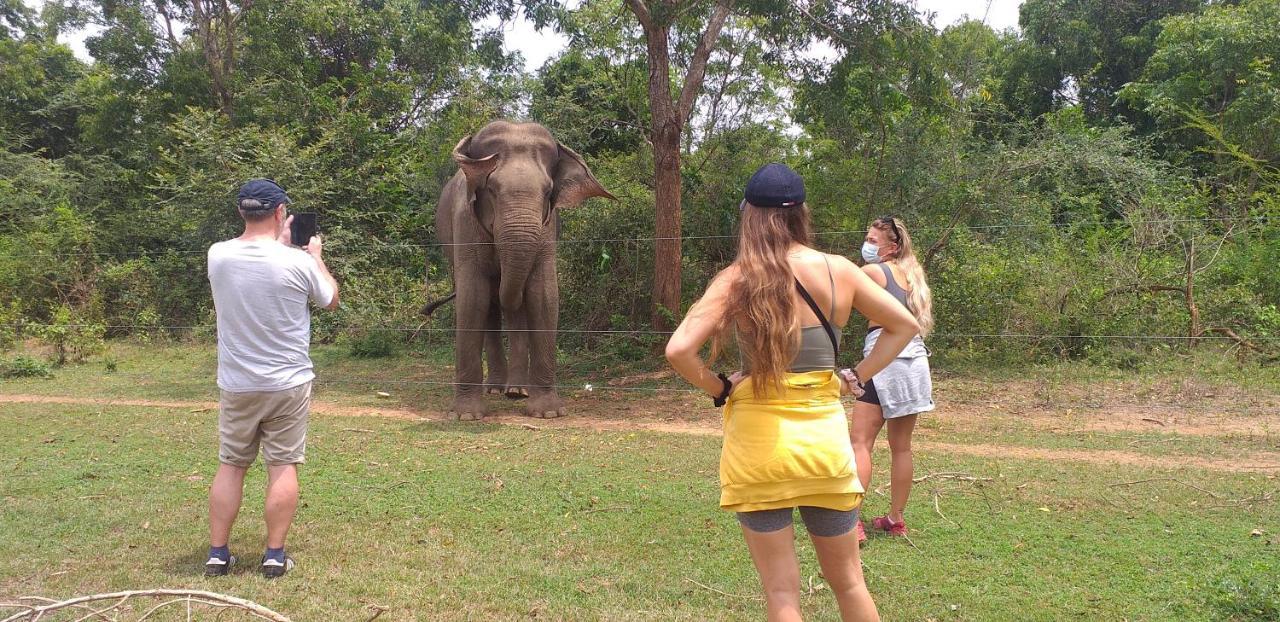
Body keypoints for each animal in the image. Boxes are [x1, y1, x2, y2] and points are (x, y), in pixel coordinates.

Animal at [432, 120, 616, 422]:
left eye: (548, 191)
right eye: (491, 189)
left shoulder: (547, 228)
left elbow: (544, 296)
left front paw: (549, 413)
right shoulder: (464, 222)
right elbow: (473, 298)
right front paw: (466, 416)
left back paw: (517, 391)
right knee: (491, 307)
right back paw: (496, 390)